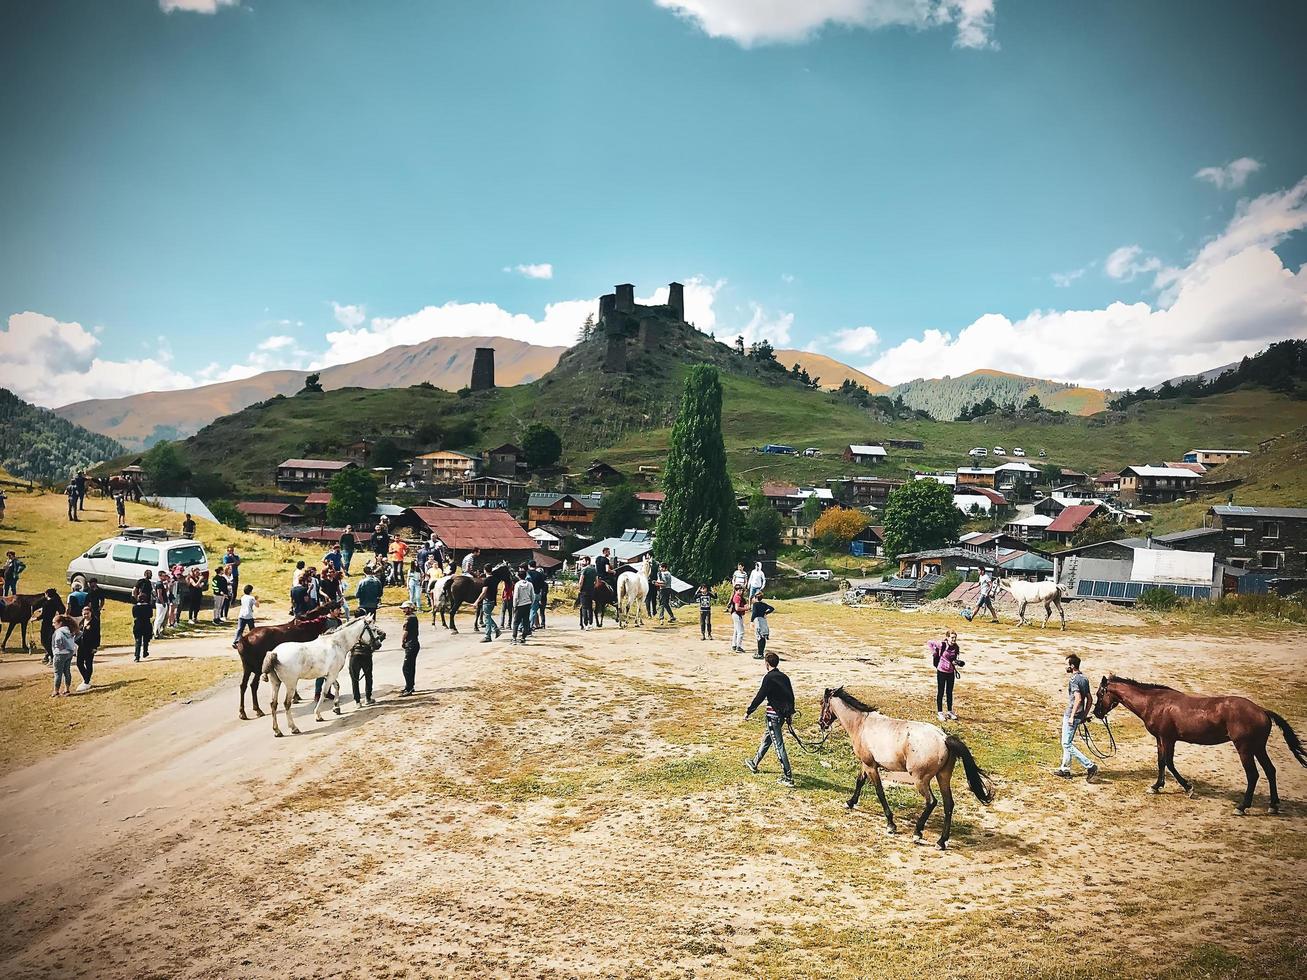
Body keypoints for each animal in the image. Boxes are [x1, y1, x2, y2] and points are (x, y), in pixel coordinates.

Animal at [815, 684, 988, 846]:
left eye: (822, 703)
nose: (821, 723)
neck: (861, 724)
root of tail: (944, 738)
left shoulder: (871, 766)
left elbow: (879, 792)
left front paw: (891, 824)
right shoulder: (866, 763)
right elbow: (860, 781)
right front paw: (850, 802)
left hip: (921, 780)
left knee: (932, 802)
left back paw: (918, 833)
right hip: (943, 777)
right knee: (949, 805)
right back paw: (941, 841)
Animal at [1092, 674, 1307, 815]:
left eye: (1099, 693)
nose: (1096, 713)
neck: (1155, 703)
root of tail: (1262, 711)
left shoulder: (1168, 739)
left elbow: (1169, 763)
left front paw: (1188, 788)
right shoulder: (1160, 739)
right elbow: (1161, 762)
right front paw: (1156, 786)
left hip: (1245, 748)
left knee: (1253, 775)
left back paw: (1242, 807)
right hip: (1258, 747)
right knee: (1270, 771)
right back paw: (1273, 805)